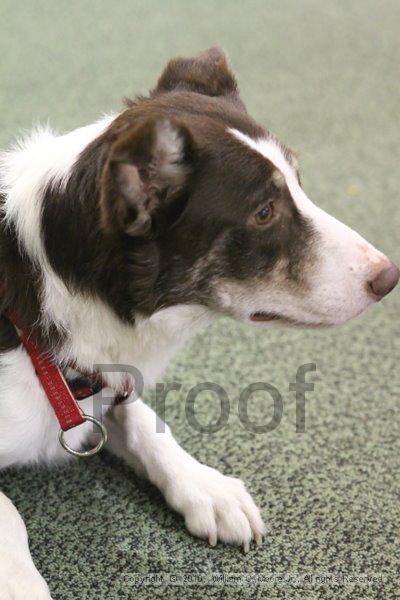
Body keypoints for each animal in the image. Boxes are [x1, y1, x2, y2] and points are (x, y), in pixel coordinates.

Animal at [0, 48, 396, 600]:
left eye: (299, 183)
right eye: (264, 212)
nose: (389, 276)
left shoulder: (106, 384)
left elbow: (146, 422)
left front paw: (208, 487)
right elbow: (8, 514)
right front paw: (20, 585)